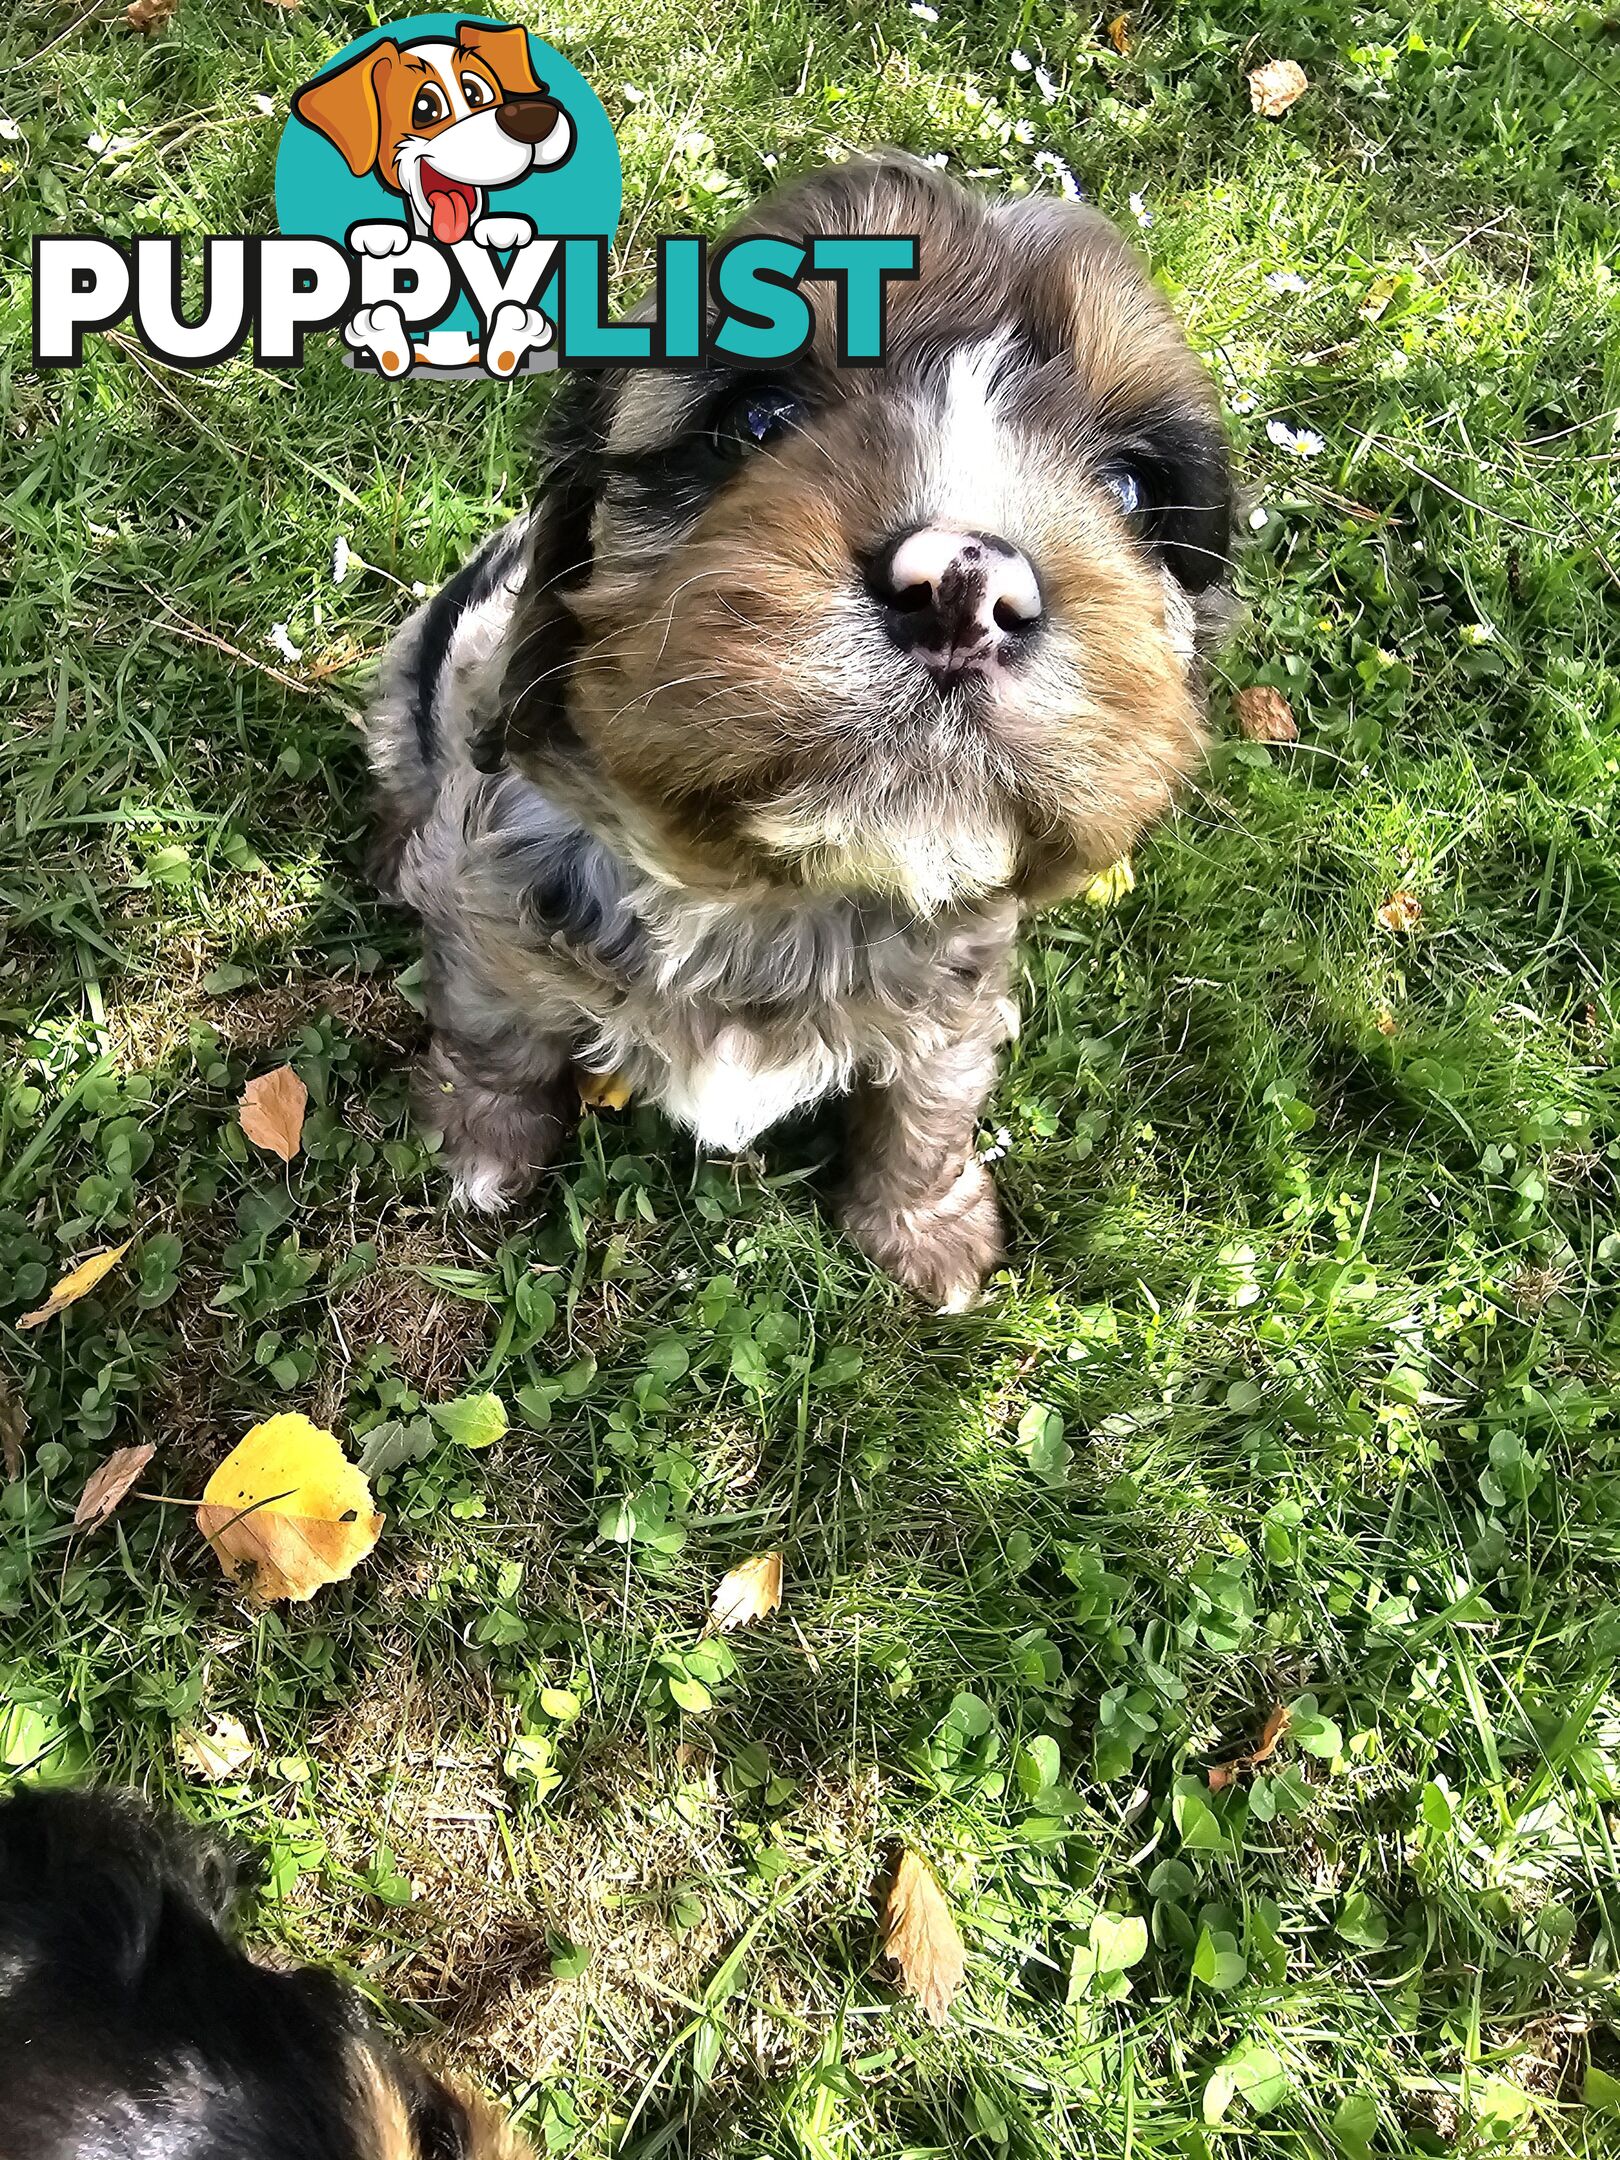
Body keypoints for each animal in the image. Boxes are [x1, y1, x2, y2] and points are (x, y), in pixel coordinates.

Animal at [371, 156, 1244, 1296]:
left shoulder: (962, 994)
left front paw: (923, 1222)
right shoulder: (489, 903)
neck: (777, 896)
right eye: (759, 418)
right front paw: (481, 1148)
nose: (967, 588)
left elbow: (930, 1100)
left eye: (1133, 488)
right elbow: (494, 1033)